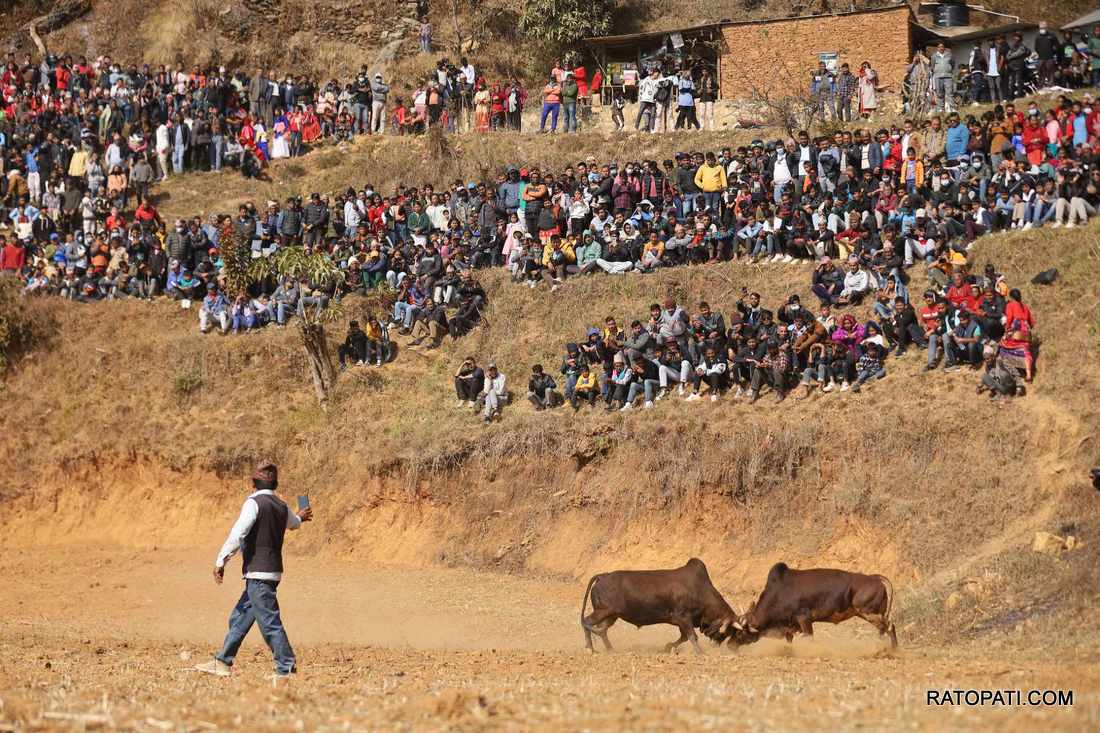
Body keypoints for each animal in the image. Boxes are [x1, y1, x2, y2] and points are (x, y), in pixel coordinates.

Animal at [580, 556, 743, 651]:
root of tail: (603, 576)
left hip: (611, 615)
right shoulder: (683, 617)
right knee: (587, 622)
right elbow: (692, 637)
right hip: (602, 611)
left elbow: (684, 637)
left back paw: (610, 650)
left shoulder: (682, 621)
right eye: (729, 631)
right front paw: (700, 653)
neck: (700, 589)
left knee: (602, 630)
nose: (720, 644)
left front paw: (668, 647)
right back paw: (590, 648)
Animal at [734, 559, 897, 647]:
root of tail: (875, 578)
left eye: (742, 632)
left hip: (868, 612)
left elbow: (809, 638)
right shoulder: (791, 626)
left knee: (887, 626)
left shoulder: (804, 619)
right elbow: (789, 639)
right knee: (886, 628)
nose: (732, 645)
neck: (780, 591)